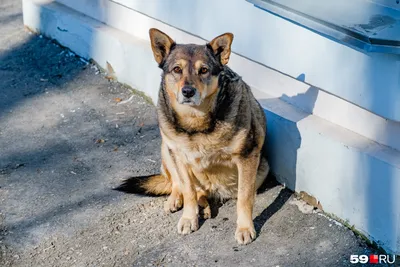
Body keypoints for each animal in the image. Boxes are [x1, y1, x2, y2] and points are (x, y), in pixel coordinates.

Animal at [118, 28, 268, 246]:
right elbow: (188, 191)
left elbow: (244, 198)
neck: (196, 122)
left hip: (262, 169)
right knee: (178, 184)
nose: (188, 91)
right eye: (177, 69)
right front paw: (189, 218)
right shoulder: (178, 156)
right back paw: (179, 200)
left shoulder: (247, 158)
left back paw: (203, 205)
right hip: (166, 148)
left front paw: (245, 227)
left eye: (203, 70)